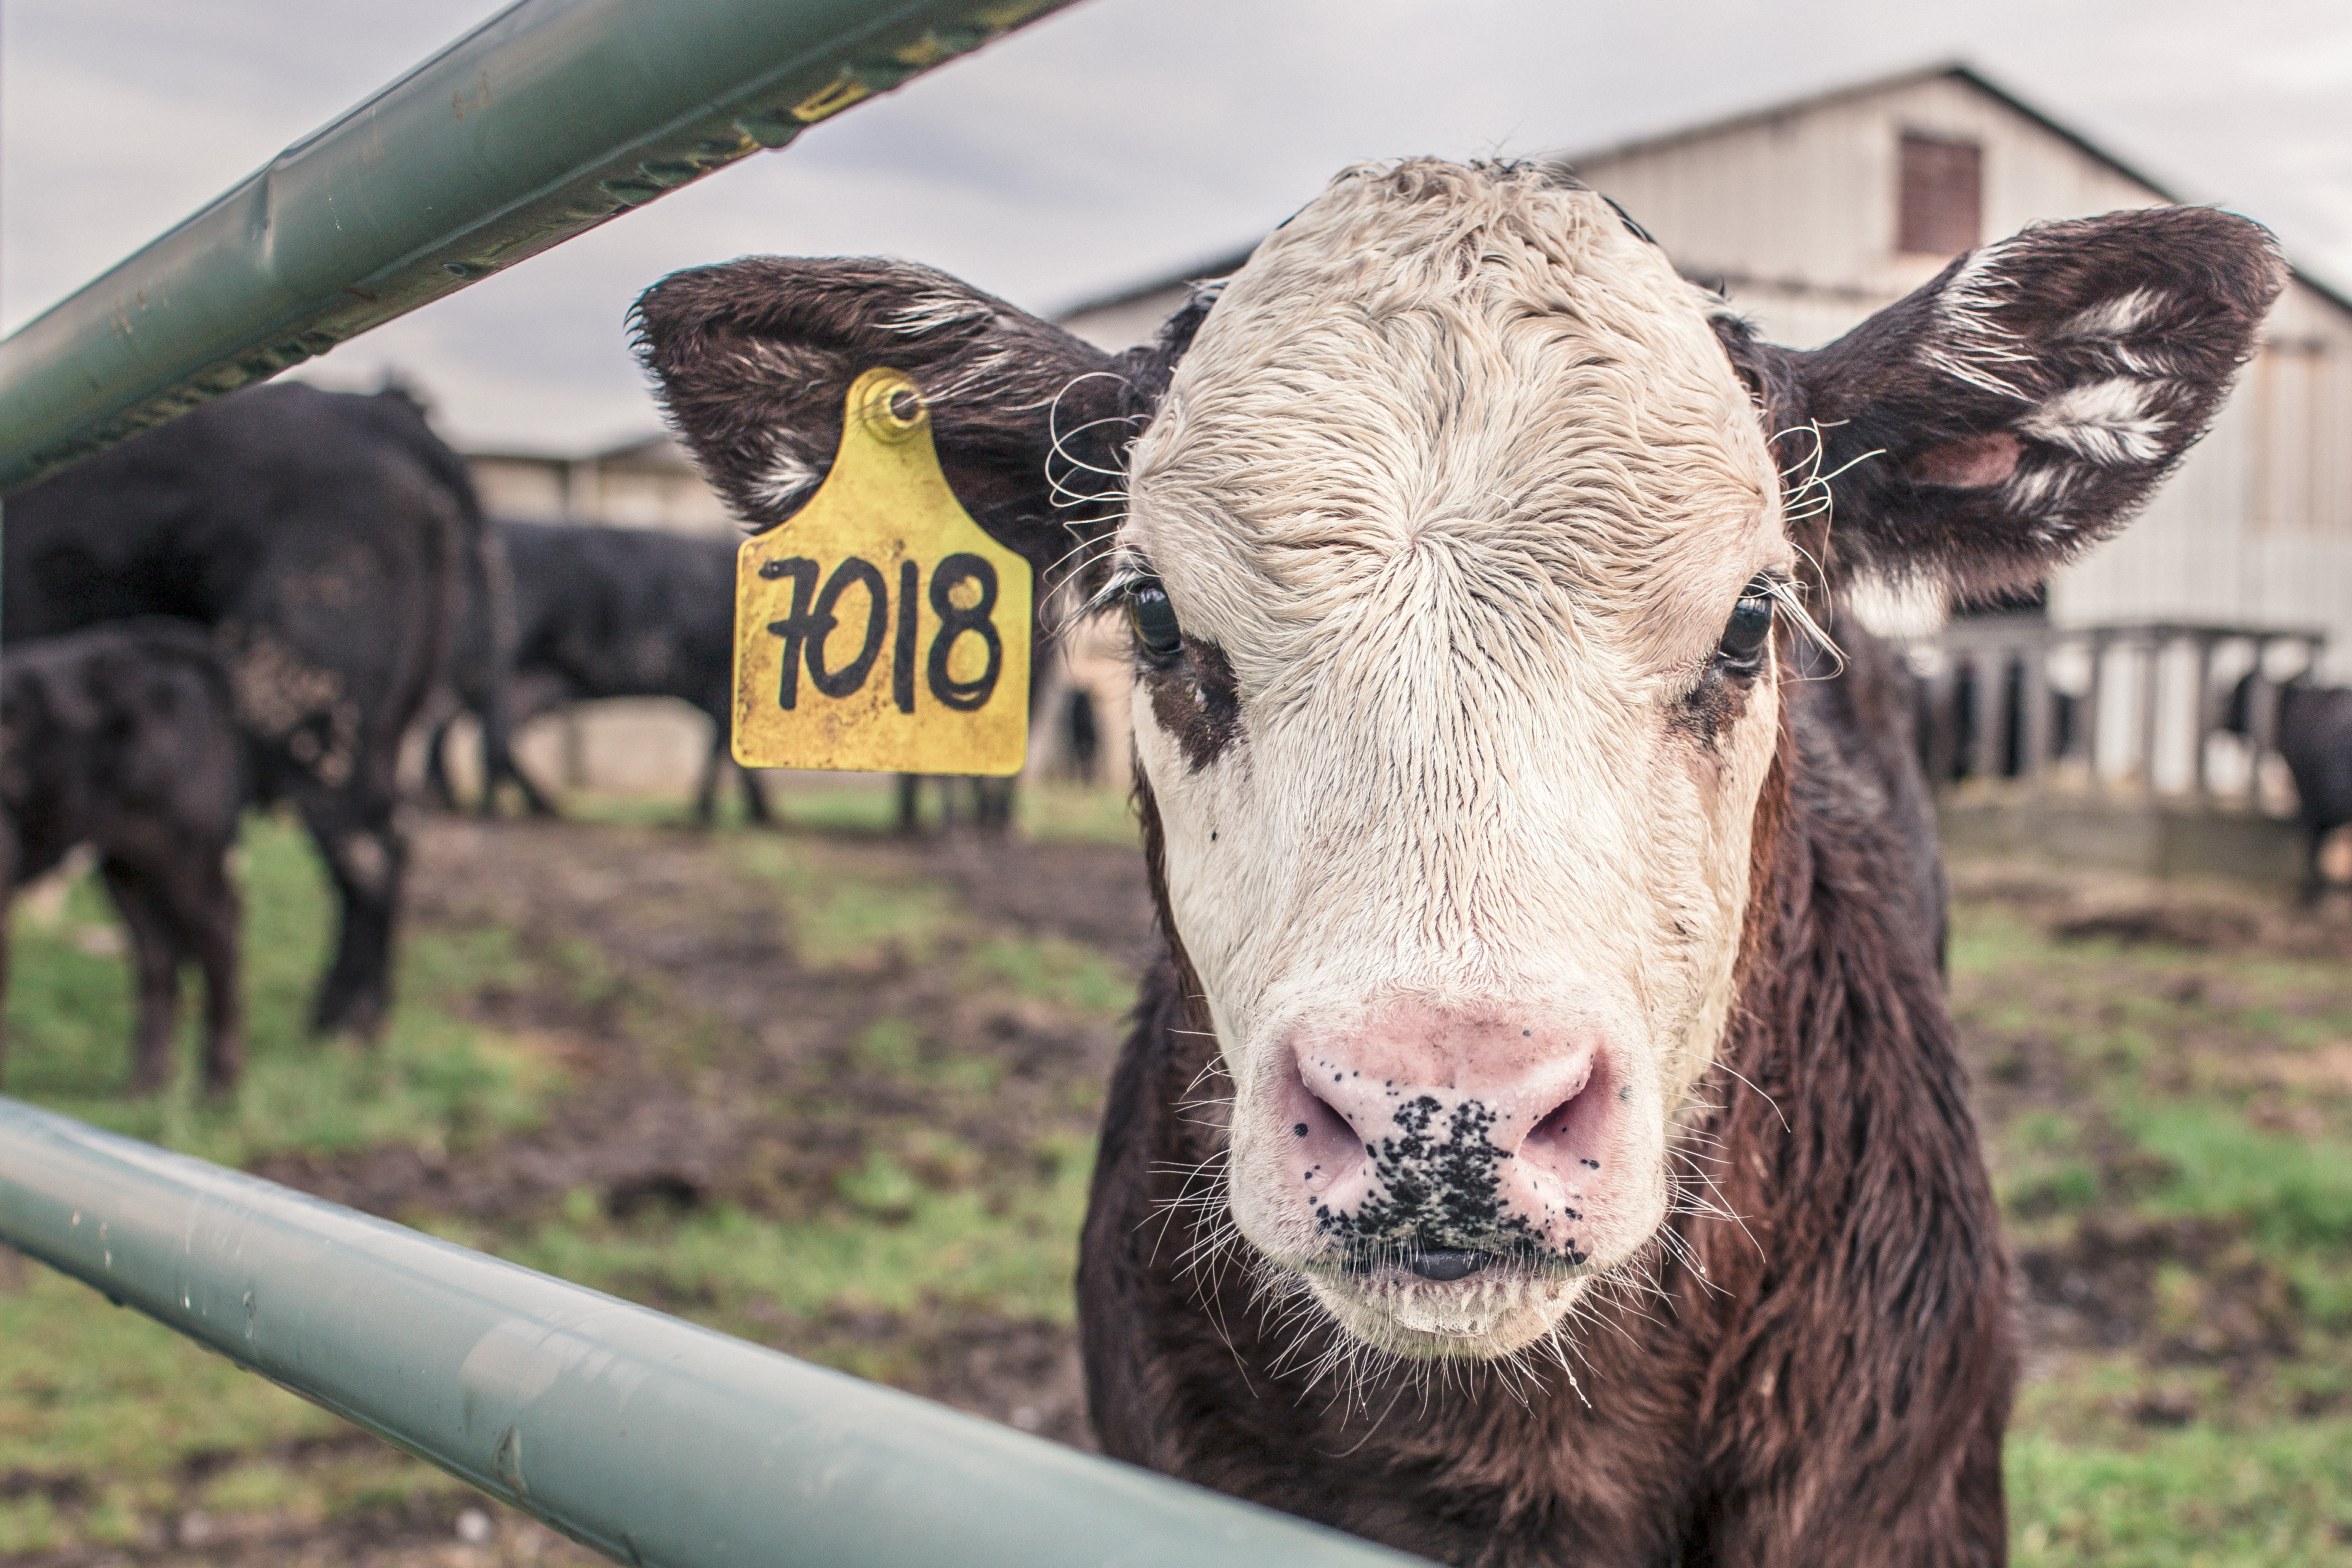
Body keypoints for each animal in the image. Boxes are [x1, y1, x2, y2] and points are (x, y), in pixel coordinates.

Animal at [2, 620, 246, 1100]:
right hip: (126, 862)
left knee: (218, 931)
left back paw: (218, 1086)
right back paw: (145, 1083)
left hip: (185, 849)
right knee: (157, 954)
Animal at [414, 521, 762, 827]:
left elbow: (726, 746)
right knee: (474, 729)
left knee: (471, 728)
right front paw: (725, 814)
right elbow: (726, 747)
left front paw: (744, 813)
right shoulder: (723, 683)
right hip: (488, 666)